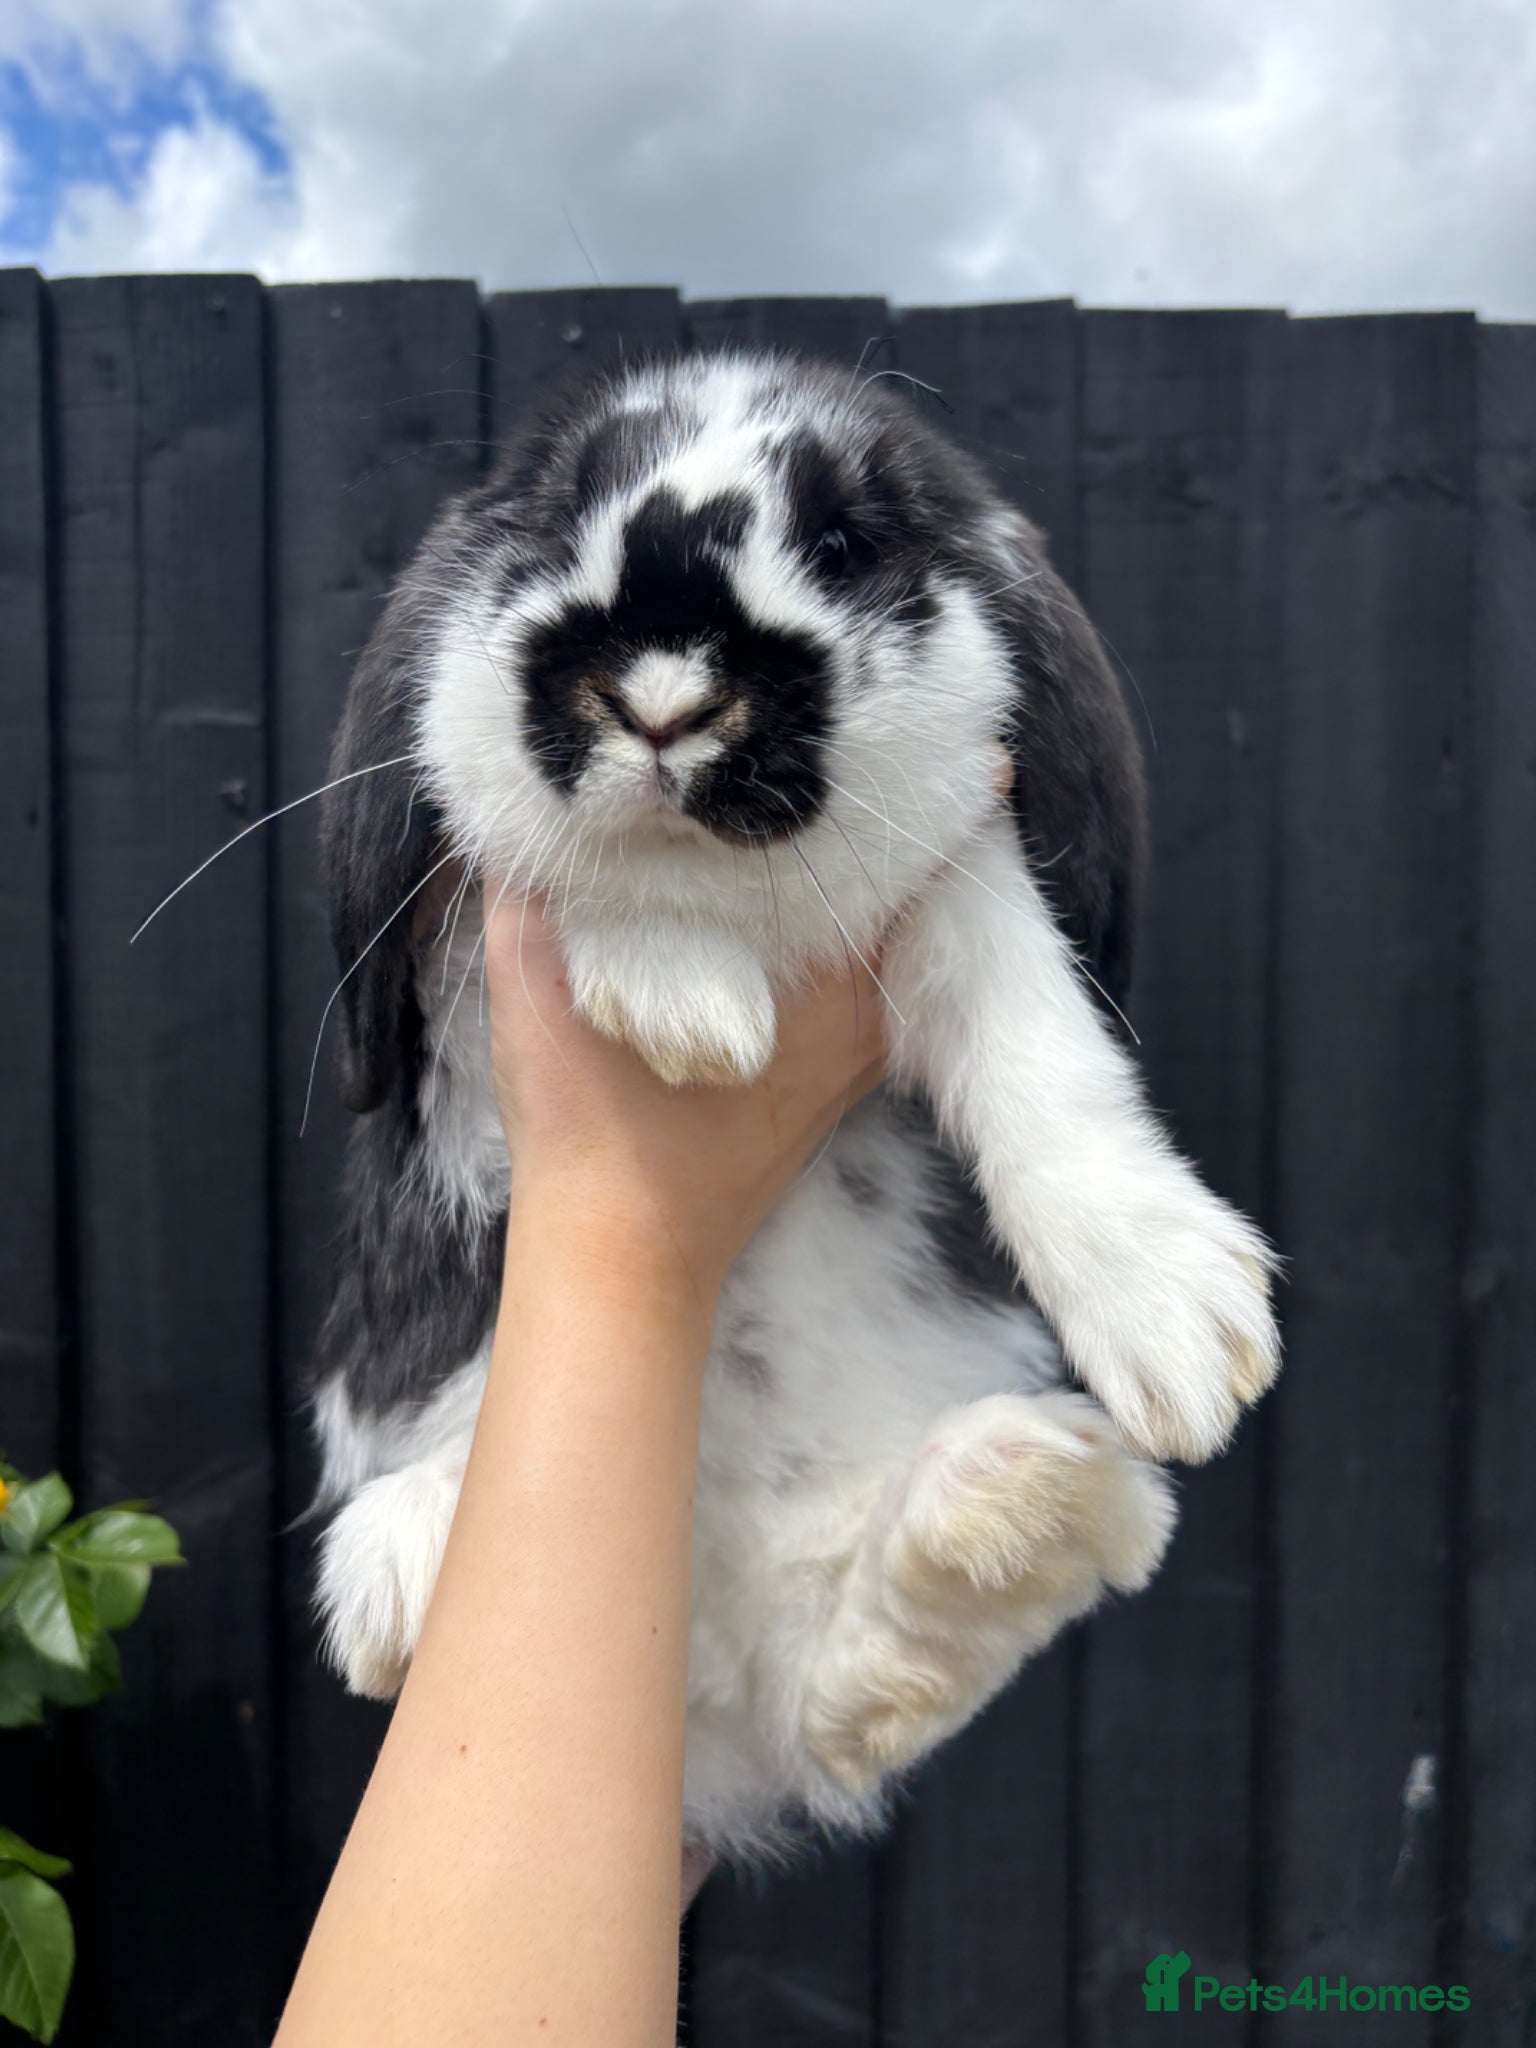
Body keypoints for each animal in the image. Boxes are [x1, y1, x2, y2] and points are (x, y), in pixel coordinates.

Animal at [310, 346, 1279, 1863]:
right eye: (558, 514)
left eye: (846, 542)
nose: (660, 697)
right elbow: (584, 868)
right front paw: (677, 1000)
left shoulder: (964, 874)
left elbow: (1034, 1041)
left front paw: (1177, 1321)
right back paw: (402, 1561)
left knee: (849, 1697)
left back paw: (1013, 1515)